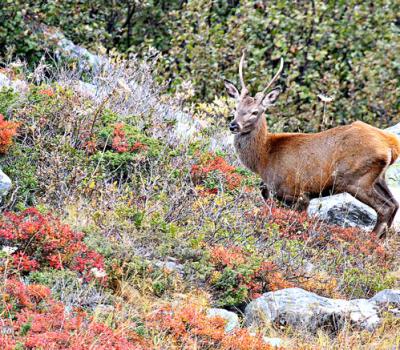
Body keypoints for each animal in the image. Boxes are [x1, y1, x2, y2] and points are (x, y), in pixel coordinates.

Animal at [225, 51, 400, 238]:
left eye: (255, 112)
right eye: (235, 108)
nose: (234, 125)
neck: (264, 157)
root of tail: (391, 144)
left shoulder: (297, 193)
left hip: (356, 178)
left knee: (385, 207)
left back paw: (371, 239)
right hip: (378, 178)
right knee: (394, 204)